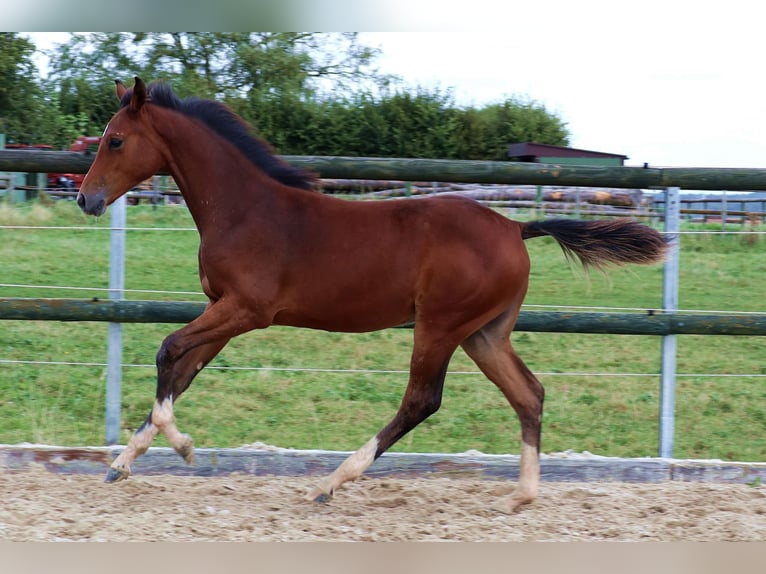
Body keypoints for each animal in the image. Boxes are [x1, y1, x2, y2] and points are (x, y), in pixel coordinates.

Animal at [78, 79, 664, 516]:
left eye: (116, 140)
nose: (86, 199)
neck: (245, 210)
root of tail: (515, 228)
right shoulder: (223, 308)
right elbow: (183, 368)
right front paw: (124, 462)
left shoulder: (247, 310)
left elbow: (169, 350)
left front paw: (182, 447)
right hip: (484, 332)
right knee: (529, 394)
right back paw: (519, 495)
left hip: (441, 325)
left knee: (422, 400)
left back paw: (332, 482)